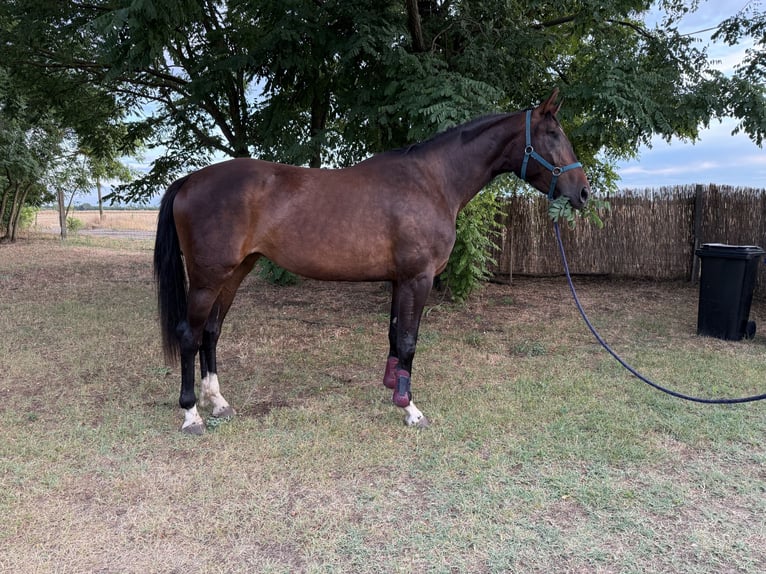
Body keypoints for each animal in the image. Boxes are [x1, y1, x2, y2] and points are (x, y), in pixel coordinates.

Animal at [153, 89, 590, 434]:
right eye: (553, 135)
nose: (583, 193)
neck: (432, 182)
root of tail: (190, 181)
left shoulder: (400, 280)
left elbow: (395, 336)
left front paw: (394, 389)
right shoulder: (418, 278)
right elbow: (410, 340)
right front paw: (411, 409)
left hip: (234, 273)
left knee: (211, 332)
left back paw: (218, 402)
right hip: (208, 278)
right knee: (190, 335)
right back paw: (192, 415)